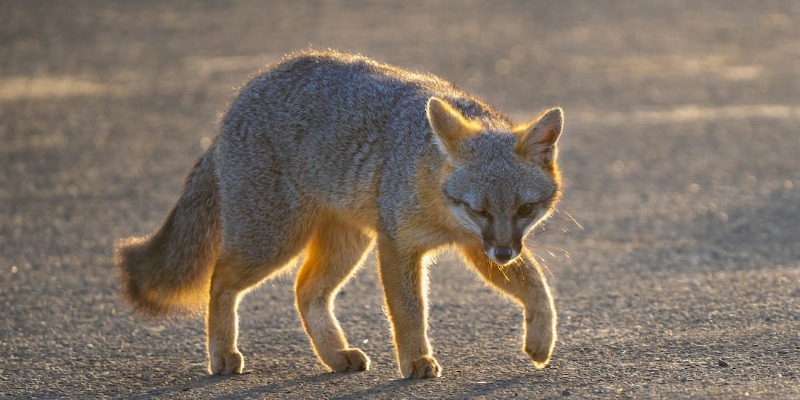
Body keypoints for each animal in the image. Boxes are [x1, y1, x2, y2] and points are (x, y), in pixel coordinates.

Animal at [115, 49, 564, 378]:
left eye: (525, 209)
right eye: (478, 208)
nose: (504, 254)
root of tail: (235, 103)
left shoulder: (476, 245)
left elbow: (537, 287)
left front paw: (541, 341)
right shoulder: (398, 244)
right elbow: (409, 311)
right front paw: (416, 360)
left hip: (345, 245)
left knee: (304, 290)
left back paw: (334, 355)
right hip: (273, 241)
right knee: (220, 279)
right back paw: (222, 354)